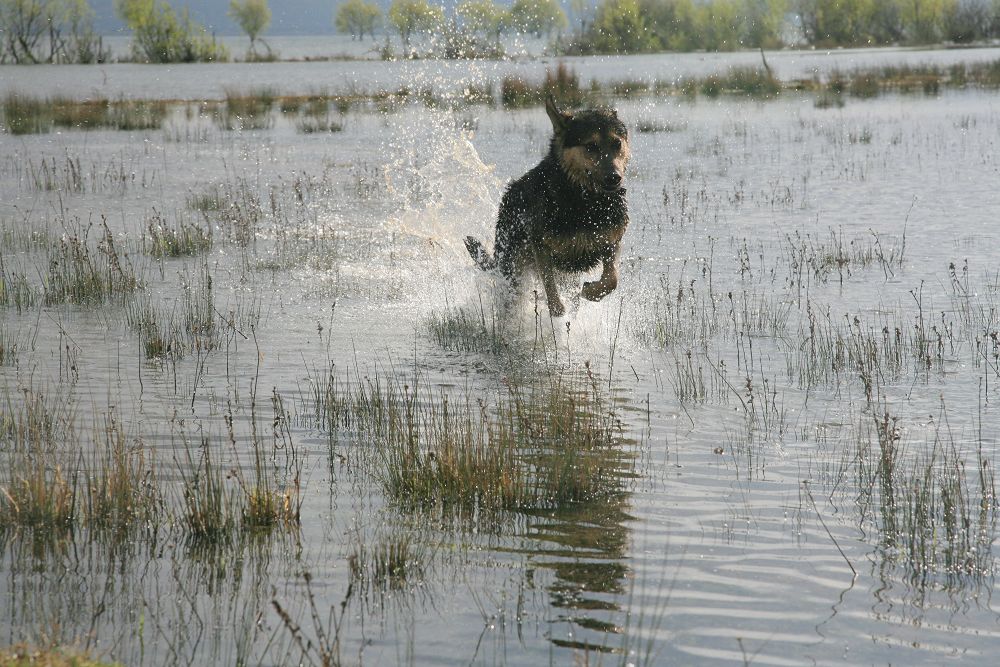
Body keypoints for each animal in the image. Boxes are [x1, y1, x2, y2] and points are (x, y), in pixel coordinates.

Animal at [464, 95, 628, 318]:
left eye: (617, 143)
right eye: (591, 146)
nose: (614, 177)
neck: (585, 202)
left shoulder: (611, 239)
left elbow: (612, 279)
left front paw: (590, 291)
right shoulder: (540, 245)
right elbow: (548, 281)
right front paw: (557, 309)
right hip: (512, 265)